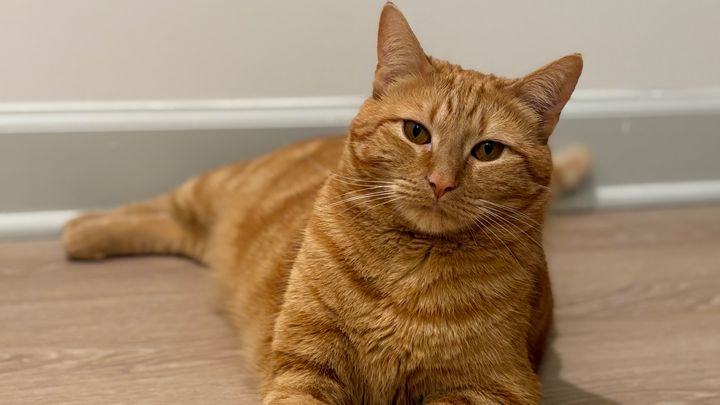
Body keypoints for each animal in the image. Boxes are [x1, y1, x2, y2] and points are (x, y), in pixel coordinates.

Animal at [63, 3, 588, 404]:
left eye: (488, 151)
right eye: (416, 132)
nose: (440, 182)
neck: (408, 268)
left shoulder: (493, 387)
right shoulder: (303, 362)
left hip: (206, 235)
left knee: (177, 229)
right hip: (211, 188)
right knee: (157, 206)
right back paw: (80, 228)